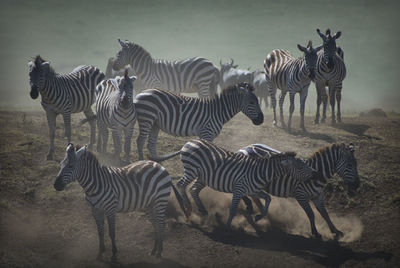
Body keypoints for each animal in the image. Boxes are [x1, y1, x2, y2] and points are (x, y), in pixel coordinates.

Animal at [53, 144, 186, 262]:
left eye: (71, 166)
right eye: (60, 164)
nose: (56, 185)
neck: (95, 184)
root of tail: (160, 166)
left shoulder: (110, 209)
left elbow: (112, 233)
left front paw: (114, 255)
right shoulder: (95, 210)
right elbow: (100, 232)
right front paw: (100, 254)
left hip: (160, 201)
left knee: (161, 224)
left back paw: (159, 252)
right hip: (150, 205)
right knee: (156, 225)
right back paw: (154, 251)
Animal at [135, 82, 266, 161]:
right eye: (251, 102)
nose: (261, 120)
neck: (218, 111)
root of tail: (142, 92)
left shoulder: (207, 135)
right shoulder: (207, 133)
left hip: (155, 123)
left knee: (151, 143)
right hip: (146, 118)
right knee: (140, 141)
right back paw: (141, 162)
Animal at [156, 138, 316, 228]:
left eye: (304, 164)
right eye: (300, 167)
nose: (315, 174)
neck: (261, 173)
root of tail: (189, 142)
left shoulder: (253, 191)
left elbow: (268, 198)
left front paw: (259, 216)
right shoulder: (239, 189)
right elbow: (233, 208)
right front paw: (228, 226)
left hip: (202, 176)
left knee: (193, 189)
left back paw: (202, 210)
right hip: (191, 170)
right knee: (181, 184)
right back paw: (188, 207)